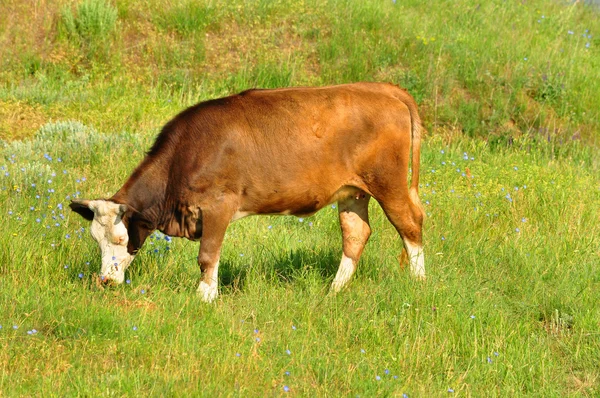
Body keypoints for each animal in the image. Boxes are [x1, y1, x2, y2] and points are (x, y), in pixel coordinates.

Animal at [70, 83, 424, 302]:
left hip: (388, 182)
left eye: (120, 238)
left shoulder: (218, 206)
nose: (104, 280)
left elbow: (207, 255)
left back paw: (417, 282)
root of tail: (379, 87)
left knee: (411, 225)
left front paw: (205, 297)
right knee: (356, 233)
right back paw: (334, 290)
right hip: (353, 191)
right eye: (95, 239)